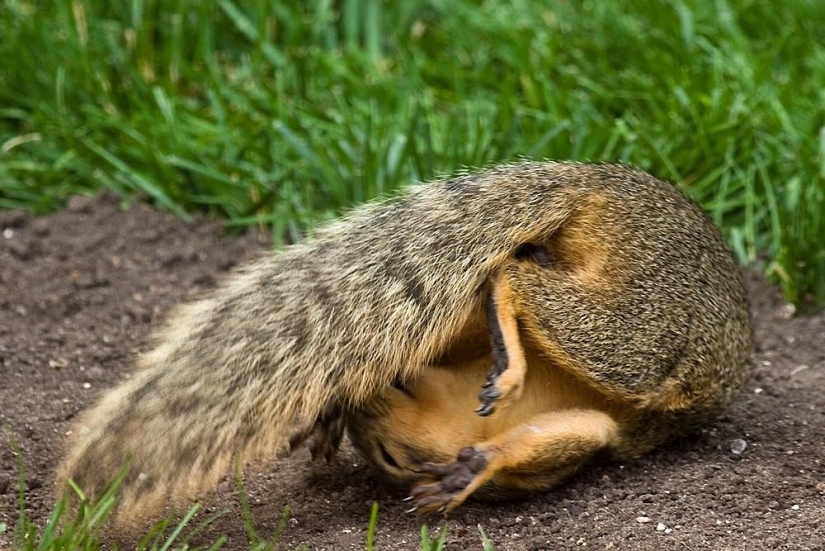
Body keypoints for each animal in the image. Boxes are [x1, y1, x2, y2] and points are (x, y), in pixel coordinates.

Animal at [58, 162, 752, 524]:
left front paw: (471, 469)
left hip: (642, 324)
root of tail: (601, 182)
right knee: (511, 272)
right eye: (391, 459)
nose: (362, 407)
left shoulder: (588, 427)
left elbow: (552, 437)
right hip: (644, 330)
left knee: (509, 274)